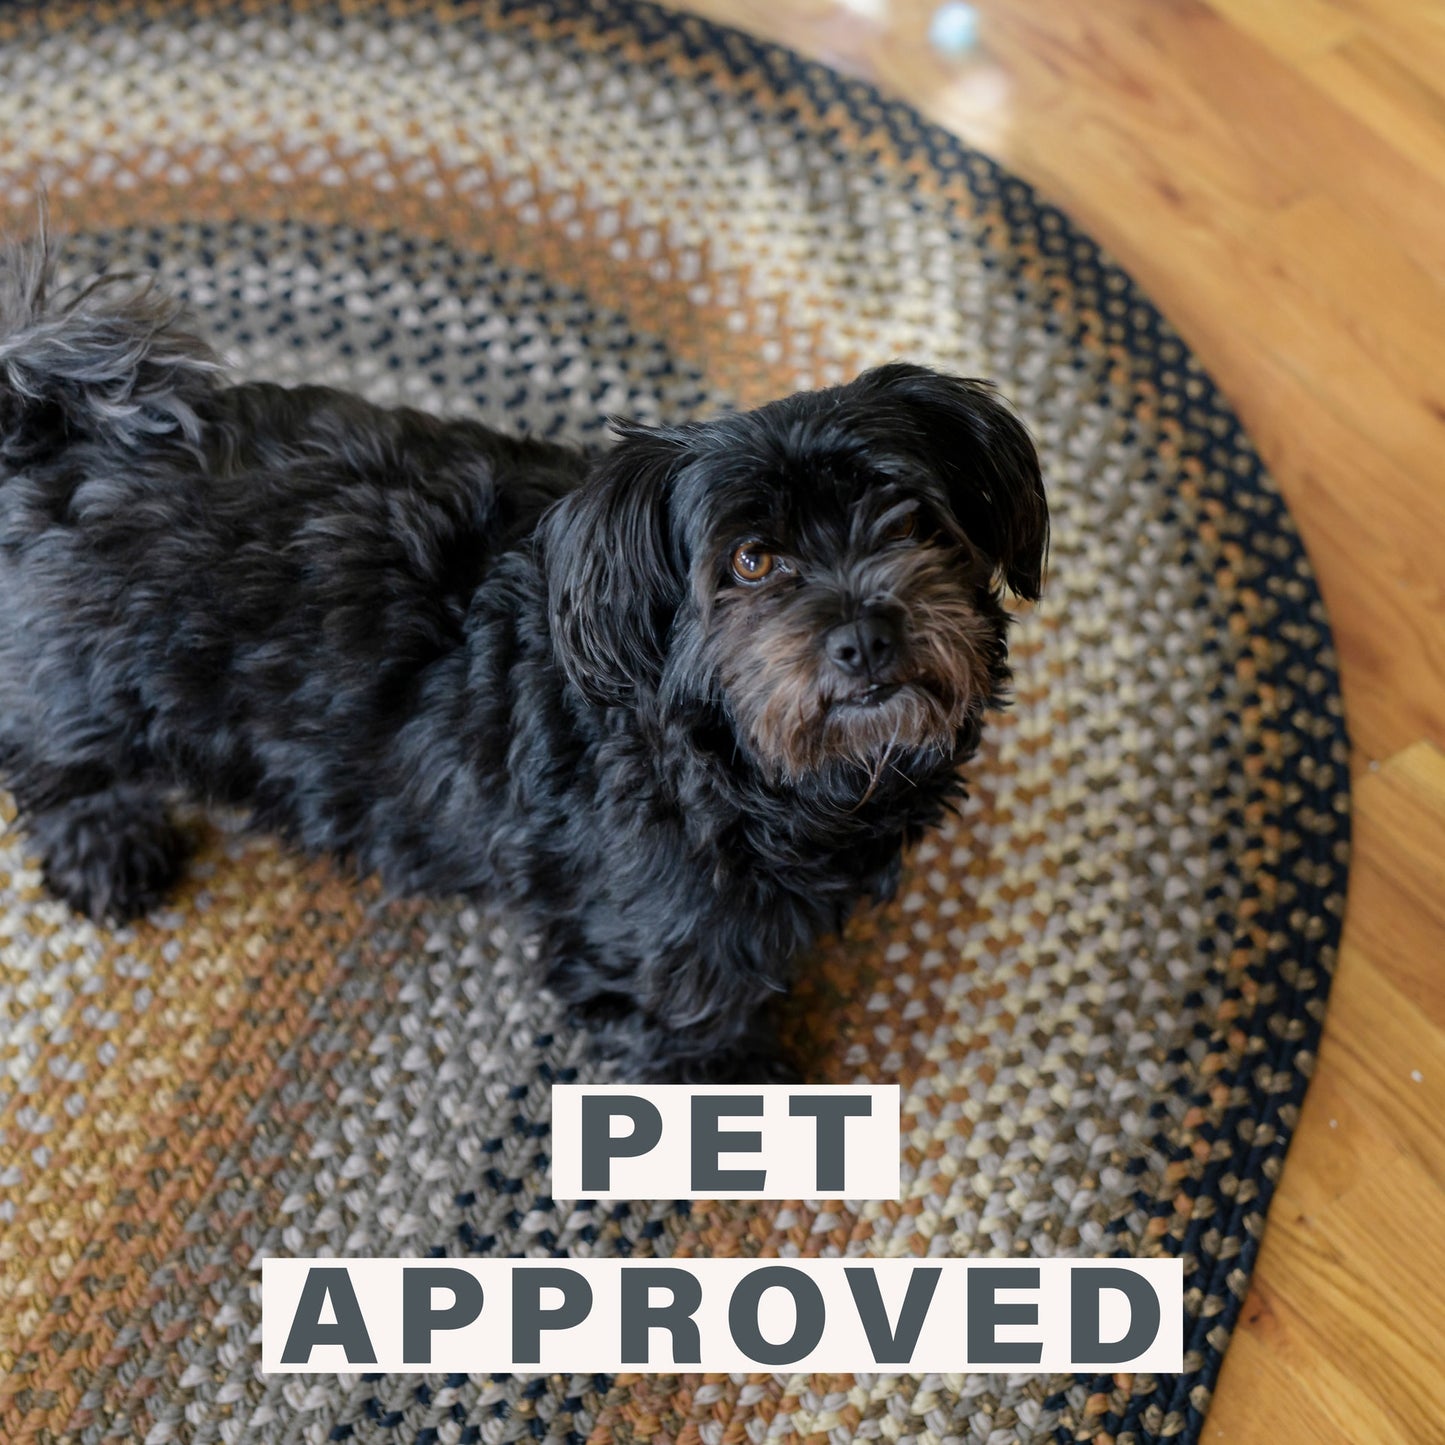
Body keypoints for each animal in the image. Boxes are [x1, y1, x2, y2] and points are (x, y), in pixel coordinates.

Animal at [0, 245, 1046, 1086]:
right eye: (751, 559)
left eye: (910, 519)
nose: (864, 635)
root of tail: (59, 430)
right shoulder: (646, 940)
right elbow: (689, 1022)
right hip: (84, 691)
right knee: (56, 770)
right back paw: (108, 850)